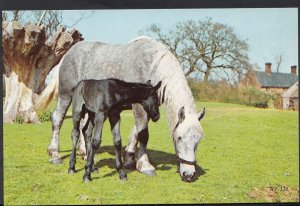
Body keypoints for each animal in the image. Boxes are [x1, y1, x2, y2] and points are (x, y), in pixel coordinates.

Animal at [48, 37, 204, 182]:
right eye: (179, 138)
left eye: (198, 140)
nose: (189, 174)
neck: (152, 64)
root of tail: (68, 53)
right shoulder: (140, 107)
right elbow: (143, 134)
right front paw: (145, 165)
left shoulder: (144, 109)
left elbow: (135, 132)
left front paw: (129, 159)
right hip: (66, 96)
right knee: (58, 119)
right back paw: (55, 154)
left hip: (89, 110)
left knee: (83, 128)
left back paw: (85, 154)